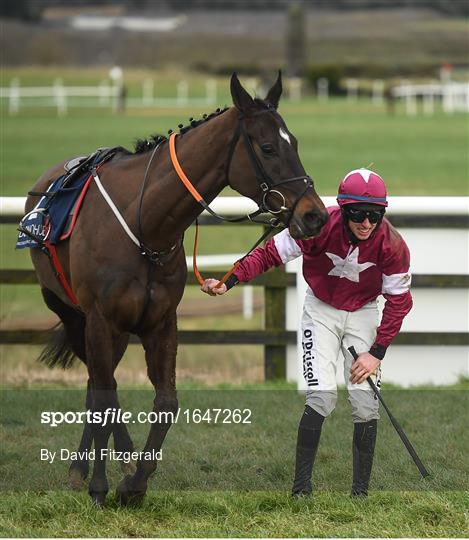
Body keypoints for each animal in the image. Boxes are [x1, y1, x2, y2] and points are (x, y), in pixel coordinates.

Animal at [27, 73, 328, 506]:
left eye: (296, 143)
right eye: (269, 147)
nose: (315, 214)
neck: (144, 226)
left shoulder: (161, 321)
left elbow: (166, 402)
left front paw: (135, 481)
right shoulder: (101, 319)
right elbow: (108, 398)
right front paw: (103, 486)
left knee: (96, 384)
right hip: (71, 314)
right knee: (100, 386)